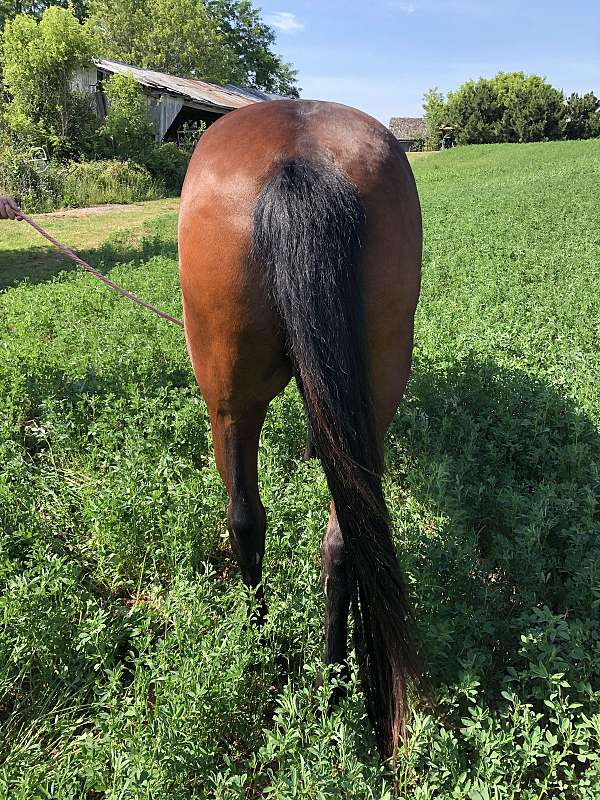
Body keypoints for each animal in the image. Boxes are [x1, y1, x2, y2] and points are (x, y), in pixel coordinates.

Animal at [178, 99, 422, 763]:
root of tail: (300, 158)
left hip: (228, 400)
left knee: (243, 516)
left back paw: (259, 643)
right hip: (379, 376)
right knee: (342, 537)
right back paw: (335, 687)